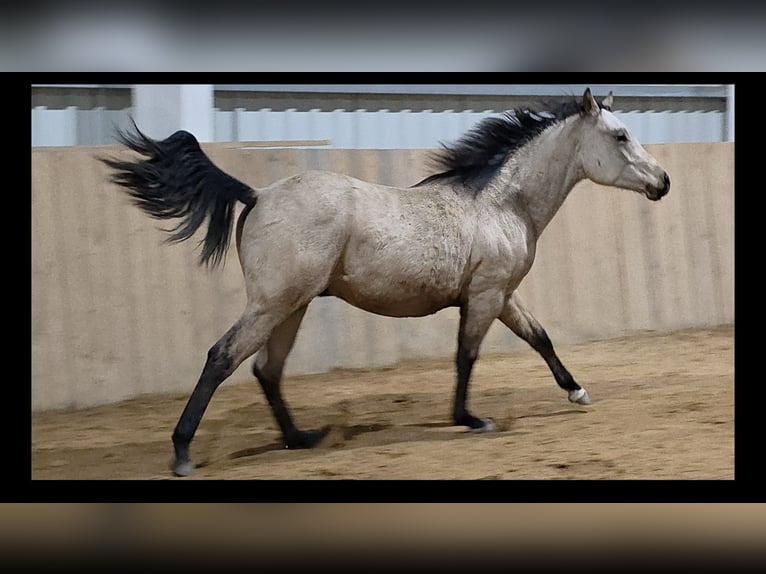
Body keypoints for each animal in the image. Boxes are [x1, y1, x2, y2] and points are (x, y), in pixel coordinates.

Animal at [102, 88, 670, 477]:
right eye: (620, 136)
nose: (663, 182)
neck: (501, 204)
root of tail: (257, 194)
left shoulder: (502, 294)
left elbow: (540, 338)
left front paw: (577, 392)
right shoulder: (485, 295)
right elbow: (467, 356)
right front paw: (469, 419)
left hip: (292, 306)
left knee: (267, 369)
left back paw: (301, 438)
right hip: (271, 303)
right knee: (223, 357)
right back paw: (182, 453)